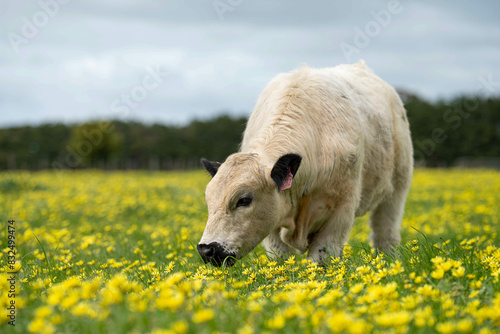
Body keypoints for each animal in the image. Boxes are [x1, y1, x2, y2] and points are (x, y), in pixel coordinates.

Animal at [197, 61, 412, 268]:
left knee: (385, 234)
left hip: (396, 192)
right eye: (208, 200)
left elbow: (321, 257)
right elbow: (280, 259)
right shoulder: (273, 221)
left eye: (244, 200)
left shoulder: (342, 210)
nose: (206, 249)